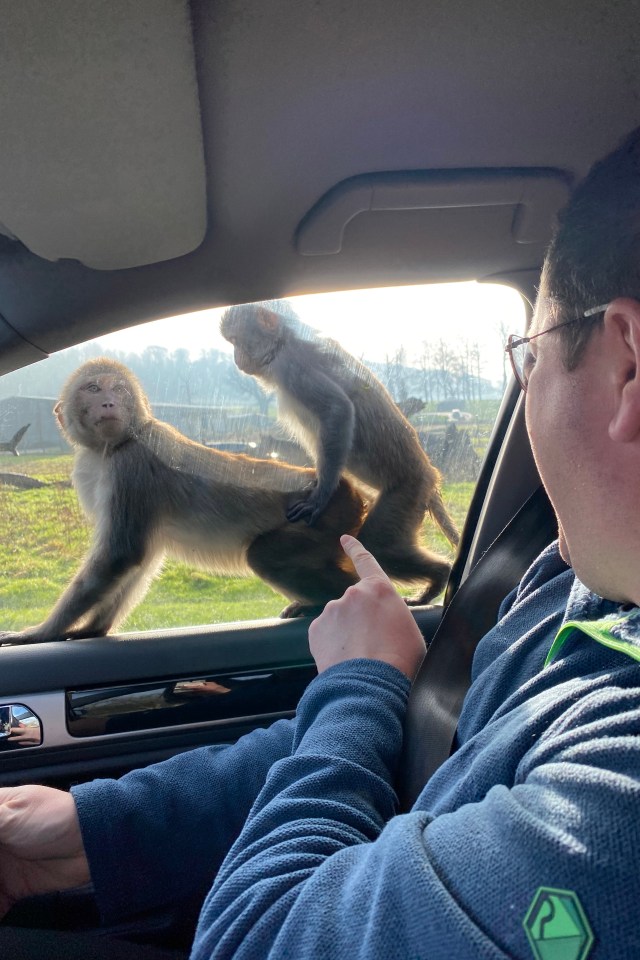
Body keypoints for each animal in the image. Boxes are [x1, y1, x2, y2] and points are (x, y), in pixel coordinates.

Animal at [0, 358, 364, 644]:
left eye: (118, 390)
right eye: (93, 388)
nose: (108, 403)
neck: (115, 445)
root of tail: (345, 489)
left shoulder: (130, 467)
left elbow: (120, 554)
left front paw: (41, 632)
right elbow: (139, 558)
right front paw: (92, 628)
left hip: (323, 523)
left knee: (264, 555)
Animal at [222, 302, 458, 600]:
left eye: (236, 341)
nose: (235, 358)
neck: (282, 340)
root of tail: (430, 472)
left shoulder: (292, 365)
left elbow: (338, 410)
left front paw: (320, 495)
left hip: (407, 492)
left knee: (377, 546)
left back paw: (440, 575)